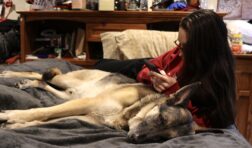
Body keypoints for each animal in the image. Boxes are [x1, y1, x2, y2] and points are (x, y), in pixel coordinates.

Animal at [0, 67, 202, 143]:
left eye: (162, 139)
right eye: (160, 119)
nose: (134, 139)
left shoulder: (86, 115)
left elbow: (46, 120)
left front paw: (16, 124)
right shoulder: (87, 104)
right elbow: (40, 113)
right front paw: (10, 116)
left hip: (70, 96)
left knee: (42, 82)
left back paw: (26, 83)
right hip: (68, 84)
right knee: (39, 73)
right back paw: (9, 74)